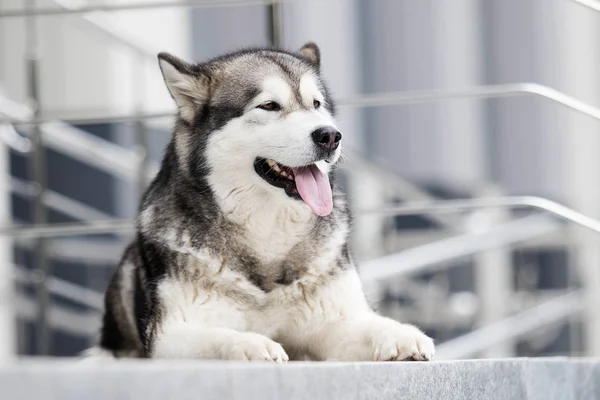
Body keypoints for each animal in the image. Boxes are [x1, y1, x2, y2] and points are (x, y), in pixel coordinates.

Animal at [86, 43, 434, 362]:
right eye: (268, 106)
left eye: (316, 104)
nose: (330, 136)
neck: (266, 233)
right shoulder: (169, 336)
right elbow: (220, 337)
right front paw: (253, 344)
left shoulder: (333, 322)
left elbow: (366, 326)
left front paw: (401, 333)